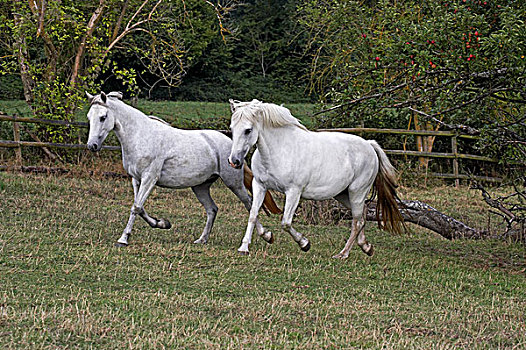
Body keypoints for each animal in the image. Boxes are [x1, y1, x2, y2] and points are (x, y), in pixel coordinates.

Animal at [84, 91, 280, 247]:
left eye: (103, 117)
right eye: (89, 117)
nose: (92, 146)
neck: (140, 136)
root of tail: (233, 148)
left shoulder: (149, 178)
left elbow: (137, 207)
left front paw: (123, 239)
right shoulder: (136, 179)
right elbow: (139, 207)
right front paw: (162, 223)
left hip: (233, 183)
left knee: (249, 203)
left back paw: (266, 236)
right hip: (200, 186)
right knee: (212, 209)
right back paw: (202, 240)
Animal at [229, 98, 406, 258]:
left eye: (248, 130)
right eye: (232, 128)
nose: (234, 161)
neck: (279, 150)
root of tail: (369, 145)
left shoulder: (293, 192)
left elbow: (285, 222)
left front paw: (304, 244)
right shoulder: (259, 185)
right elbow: (253, 214)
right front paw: (248, 245)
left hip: (357, 192)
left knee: (357, 221)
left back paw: (343, 254)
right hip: (343, 194)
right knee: (361, 216)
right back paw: (366, 247)